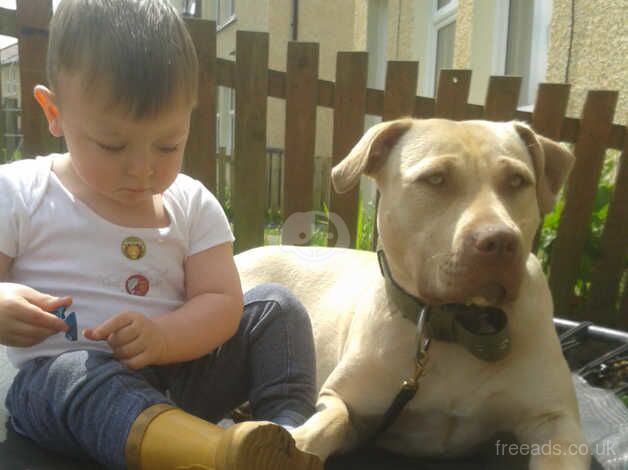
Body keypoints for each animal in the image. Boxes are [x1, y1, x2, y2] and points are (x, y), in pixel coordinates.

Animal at [234, 119, 588, 468]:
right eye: (435, 178)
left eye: (517, 181)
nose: (500, 240)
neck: (454, 325)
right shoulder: (343, 400)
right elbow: (332, 421)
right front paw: (291, 445)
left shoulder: (557, 421)